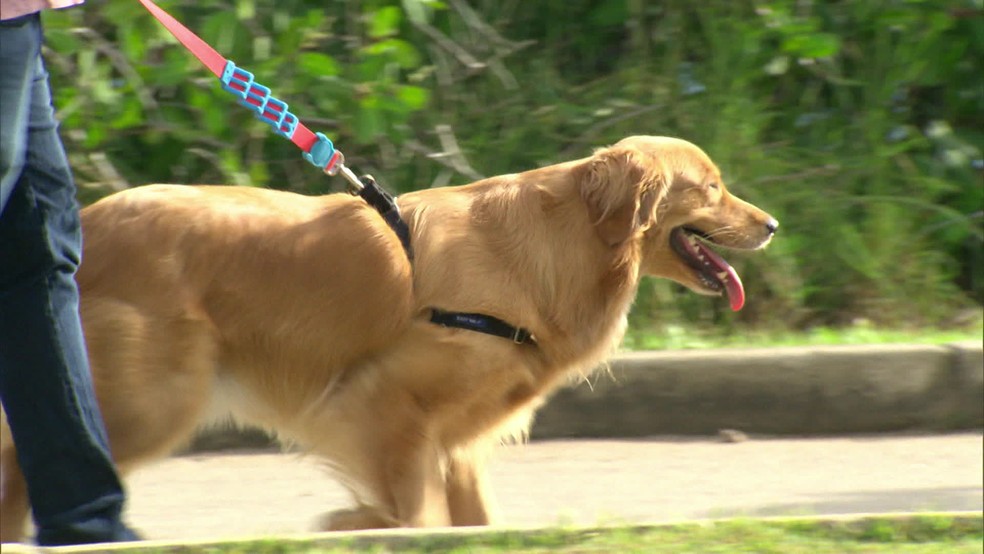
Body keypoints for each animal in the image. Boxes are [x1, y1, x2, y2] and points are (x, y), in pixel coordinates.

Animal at [0, 135, 776, 540]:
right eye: (709, 188)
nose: (771, 224)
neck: (563, 245)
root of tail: (88, 223)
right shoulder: (383, 401)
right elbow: (413, 513)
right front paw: (356, 520)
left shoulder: (454, 441)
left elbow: (470, 518)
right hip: (155, 399)